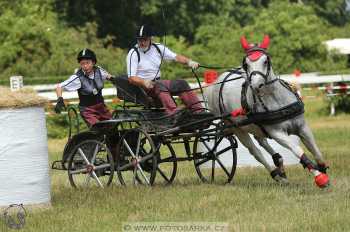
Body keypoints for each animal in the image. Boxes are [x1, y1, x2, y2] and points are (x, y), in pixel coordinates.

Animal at [204, 35, 330, 188]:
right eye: (246, 64)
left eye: (265, 61)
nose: (256, 85)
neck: (276, 99)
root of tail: (217, 81)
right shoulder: (277, 133)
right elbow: (297, 150)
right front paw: (319, 177)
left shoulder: (302, 127)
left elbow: (317, 152)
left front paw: (322, 169)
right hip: (236, 128)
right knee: (255, 152)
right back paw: (277, 175)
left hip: (254, 125)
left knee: (262, 141)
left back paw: (279, 163)